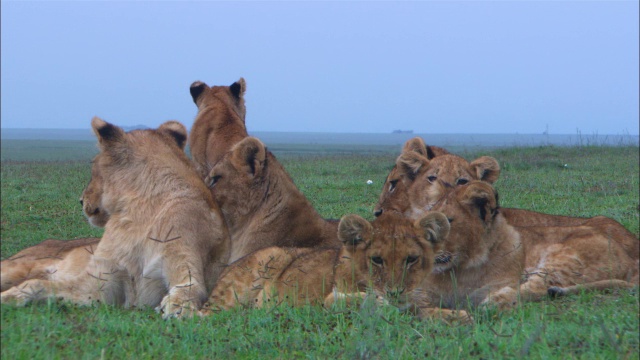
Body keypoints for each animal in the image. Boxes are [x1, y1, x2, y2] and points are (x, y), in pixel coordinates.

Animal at [0, 117, 230, 318]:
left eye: (93, 164)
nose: (81, 200)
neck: (140, 215)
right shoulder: (99, 282)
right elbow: (36, 283)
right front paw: (7, 297)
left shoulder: (184, 261)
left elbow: (191, 288)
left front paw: (178, 306)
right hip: (16, 266)